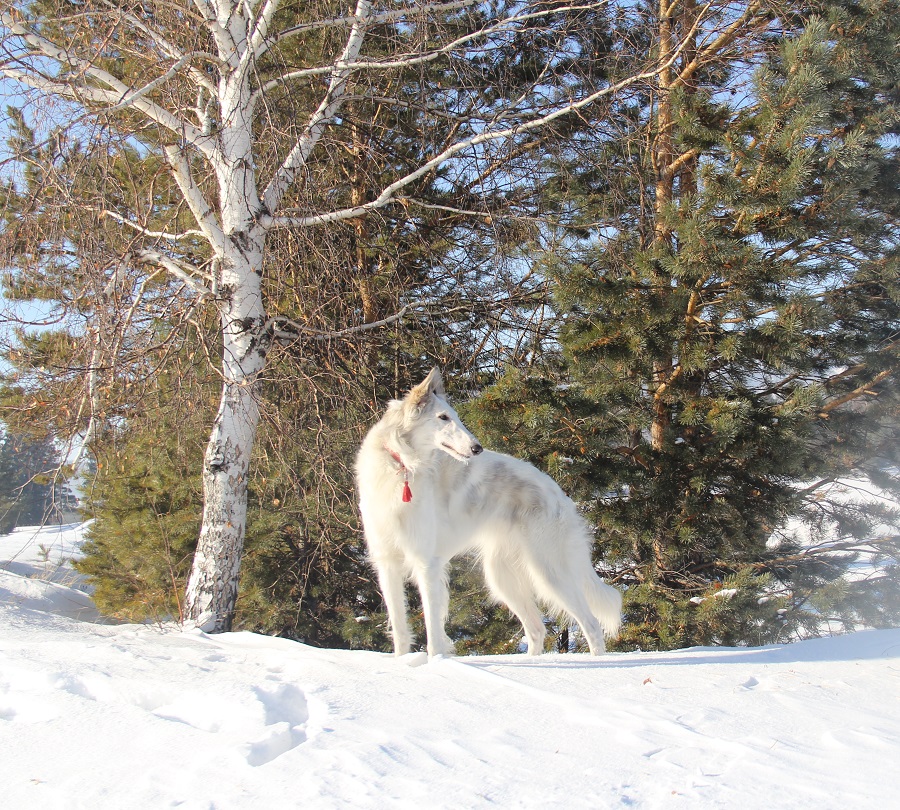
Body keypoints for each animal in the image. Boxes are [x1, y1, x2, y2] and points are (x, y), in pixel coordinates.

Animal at [355, 368, 622, 657]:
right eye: (443, 417)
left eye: (456, 416)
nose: (477, 448)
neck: (400, 467)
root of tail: (561, 496)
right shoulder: (387, 563)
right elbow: (400, 629)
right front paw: (403, 662)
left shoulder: (426, 563)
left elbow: (433, 631)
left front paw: (436, 661)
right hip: (503, 577)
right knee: (537, 629)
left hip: (549, 572)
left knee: (591, 625)